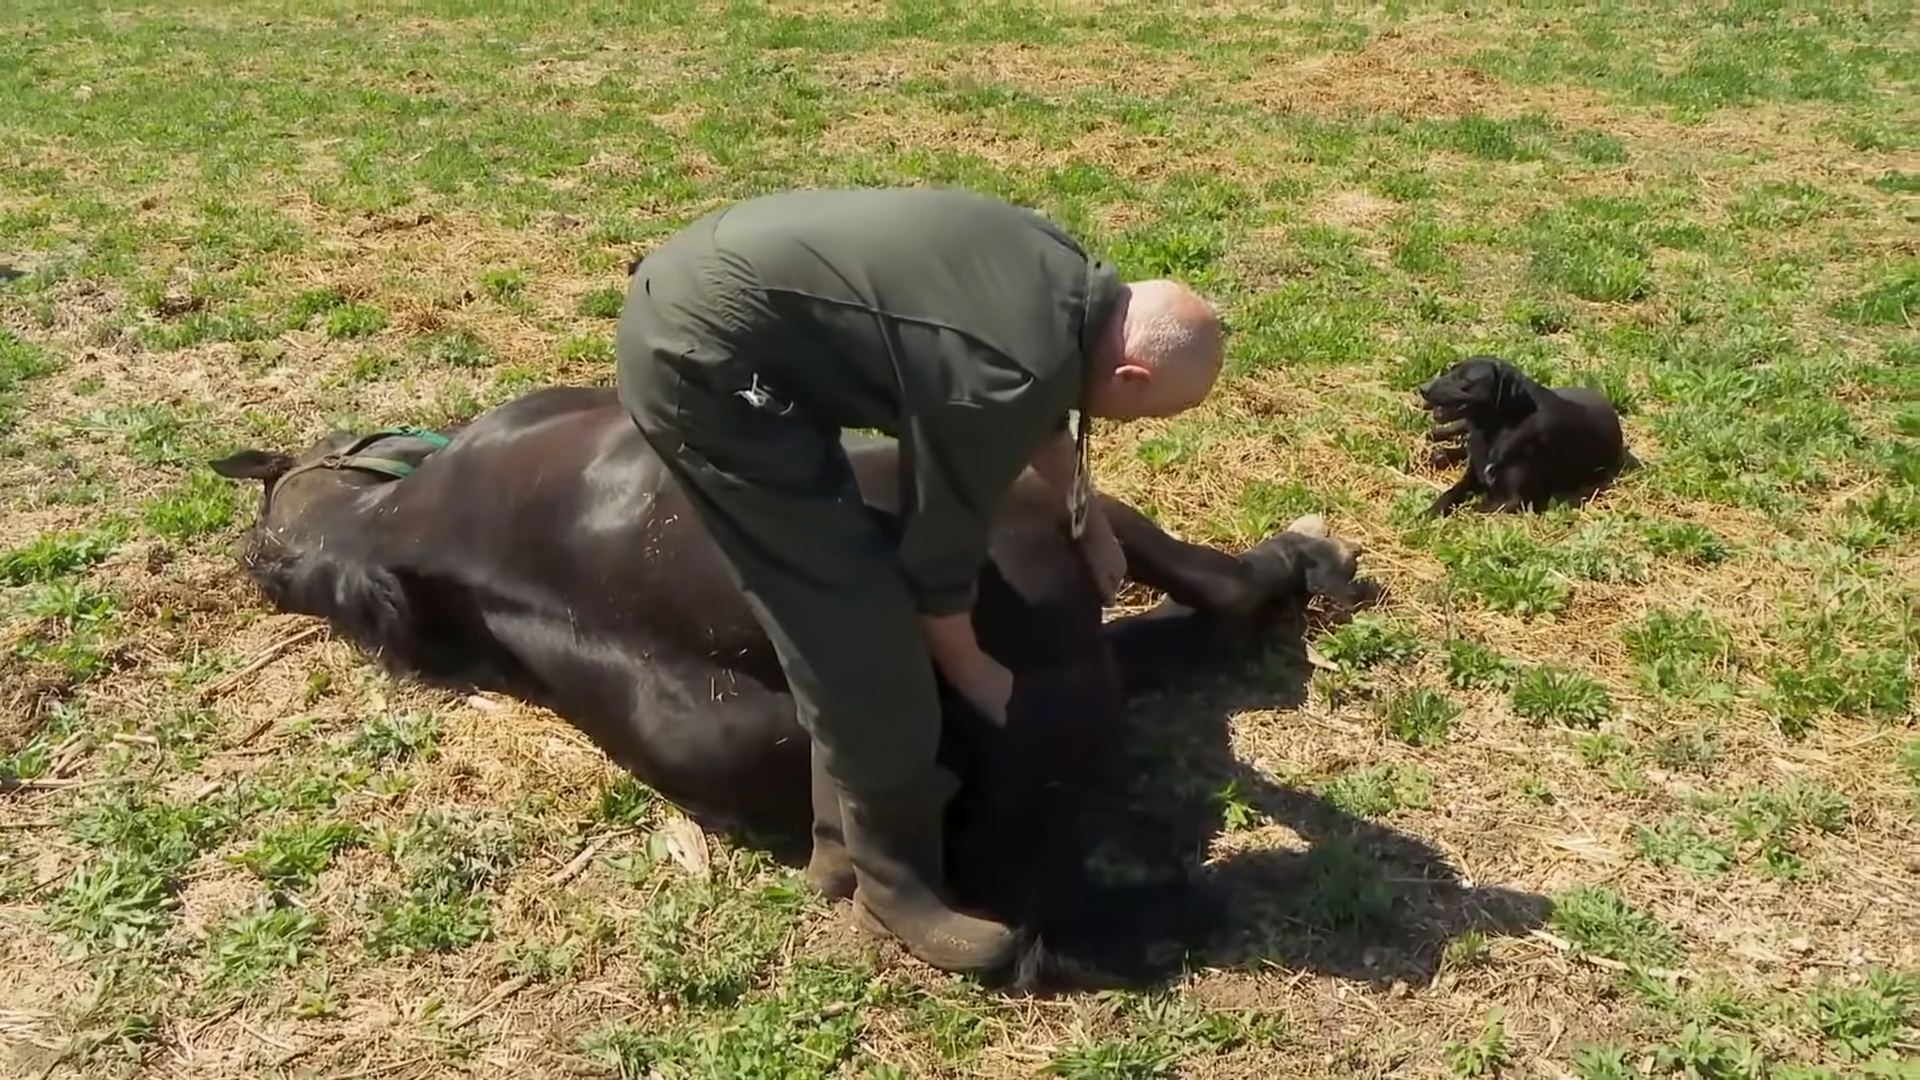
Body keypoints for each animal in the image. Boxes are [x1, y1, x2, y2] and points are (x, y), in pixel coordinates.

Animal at [1420, 355, 1628, 518]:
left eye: (1465, 379)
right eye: (1450, 370)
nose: (1422, 389)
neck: (1497, 431)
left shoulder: (1512, 499)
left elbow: (1475, 511)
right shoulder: (1473, 477)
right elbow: (1449, 494)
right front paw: (1429, 513)